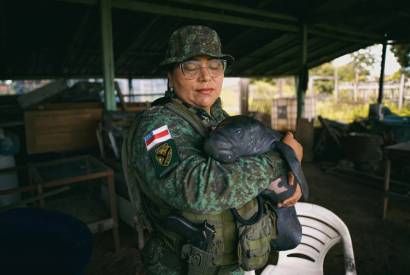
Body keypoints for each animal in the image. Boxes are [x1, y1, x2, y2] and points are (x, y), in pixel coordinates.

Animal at [203, 115, 310, 251]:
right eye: (217, 127)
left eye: (238, 132)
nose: (211, 140)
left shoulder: (278, 143)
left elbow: (292, 157)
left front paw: (305, 193)